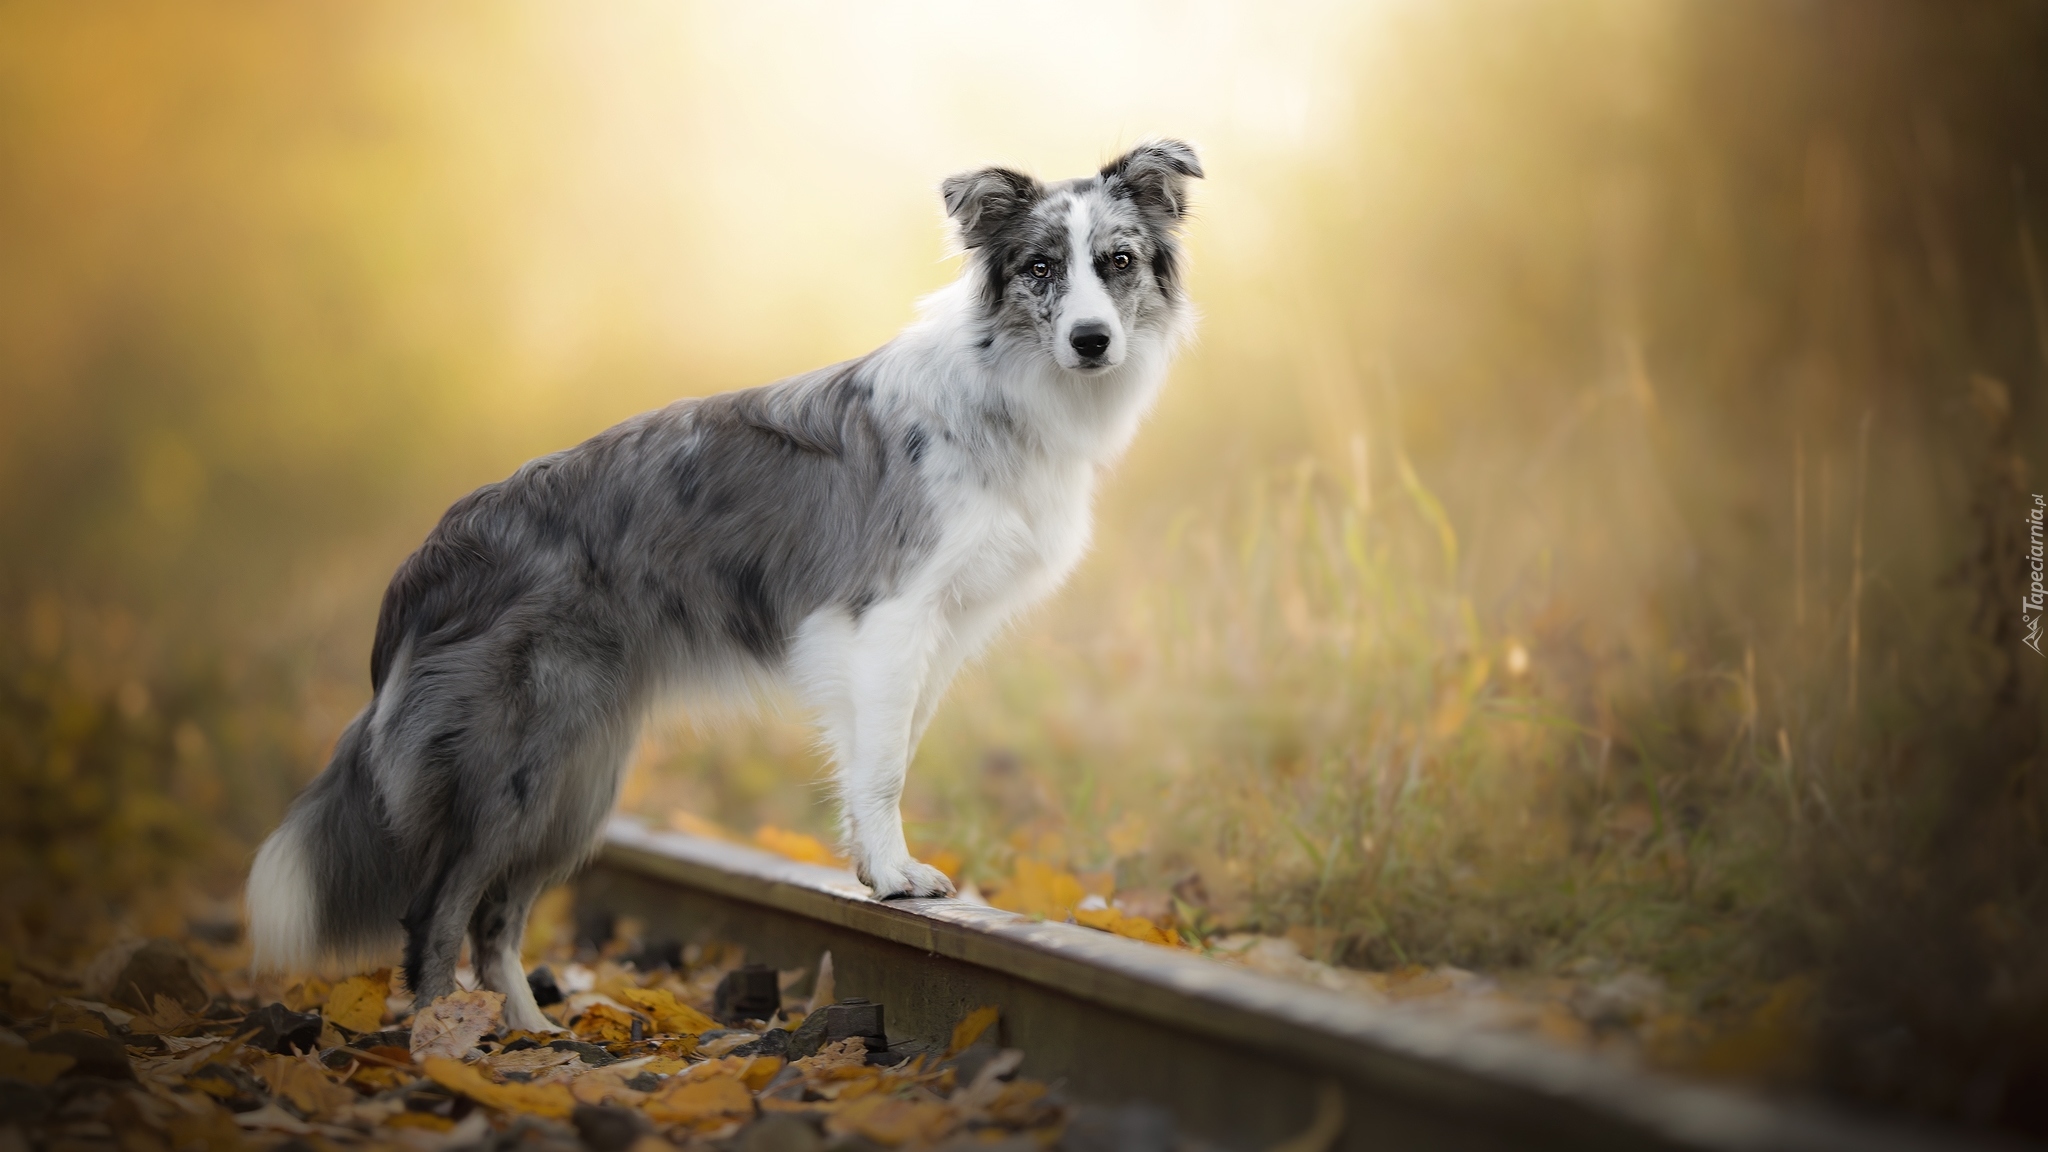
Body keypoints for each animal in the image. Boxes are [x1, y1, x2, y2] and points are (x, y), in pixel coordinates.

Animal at [247, 139, 1196, 1024]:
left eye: (1117, 261)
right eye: (1039, 268)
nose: (1091, 341)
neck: (1006, 391)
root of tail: (432, 556)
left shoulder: (934, 634)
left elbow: (880, 753)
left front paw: (870, 867)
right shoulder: (887, 615)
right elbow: (884, 767)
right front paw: (896, 877)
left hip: (578, 774)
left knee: (495, 918)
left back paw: (529, 1036)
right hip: (515, 762)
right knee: (436, 914)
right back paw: (453, 1047)